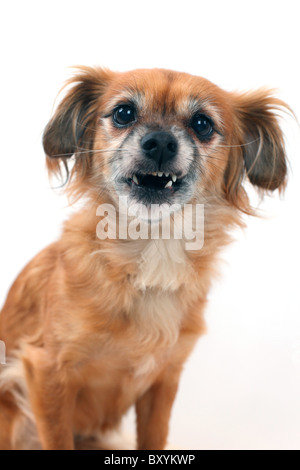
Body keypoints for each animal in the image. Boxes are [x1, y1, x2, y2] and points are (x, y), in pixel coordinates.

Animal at [0, 68, 290, 450]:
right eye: (124, 113)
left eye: (203, 124)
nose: (161, 142)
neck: (152, 249)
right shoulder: (46, 371)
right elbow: (58, 439)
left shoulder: (164, 380)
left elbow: (154, 437)